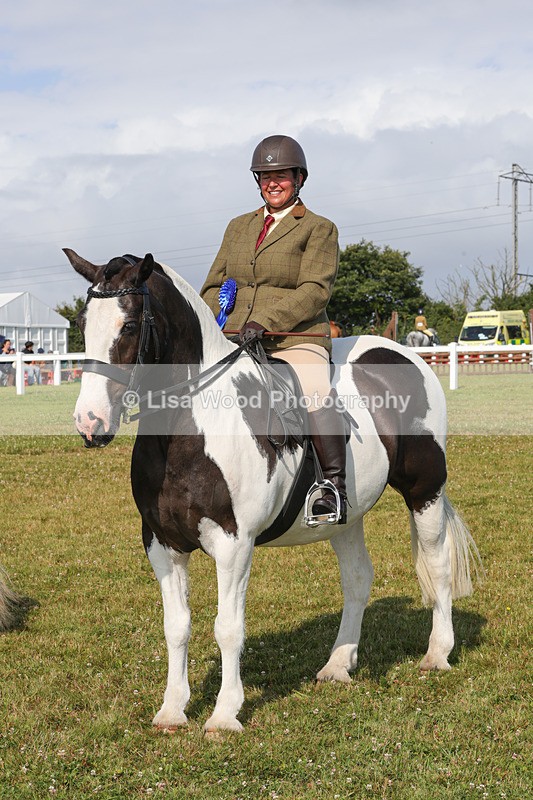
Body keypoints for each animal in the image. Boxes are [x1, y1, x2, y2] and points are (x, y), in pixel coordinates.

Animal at [64, 248, 481, 734]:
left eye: (129, 325)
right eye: (82, 322)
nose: (90, 421)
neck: (190, 426)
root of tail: (404, 354)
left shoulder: (234, 544)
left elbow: (227, 627)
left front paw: (225, 714)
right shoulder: (162, 544)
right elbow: (176, 626)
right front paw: (172, 709)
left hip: (425, 490)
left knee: (437, 565)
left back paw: (437, 654)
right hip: (347, 515)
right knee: (358, 578)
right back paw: (338, 665)